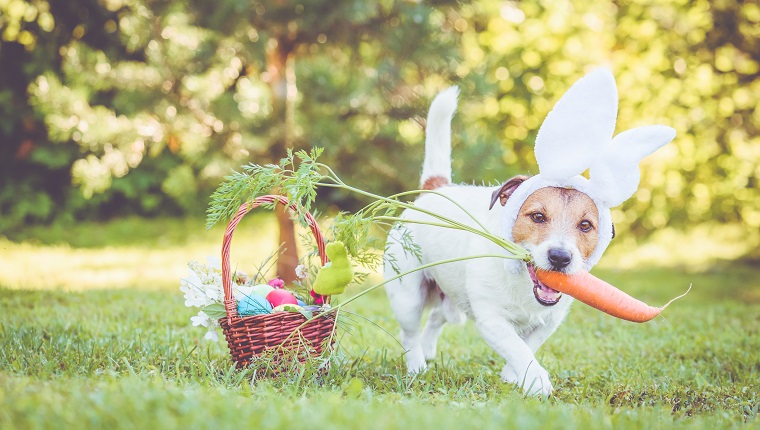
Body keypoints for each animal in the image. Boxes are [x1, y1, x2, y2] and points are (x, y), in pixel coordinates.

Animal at [382, 69, 672, 396]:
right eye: (537, 216)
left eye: (586, 225)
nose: (559, 257)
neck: (521, 280)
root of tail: (436, 189)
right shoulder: (491, 319)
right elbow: (516, 347)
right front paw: (536, 381)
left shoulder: (549, 321)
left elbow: (529, 344)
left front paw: (513, 375)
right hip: (408, 295)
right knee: (409, 333)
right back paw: (416, 366)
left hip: (450, 295)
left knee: (436, 317)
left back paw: (429, 351)